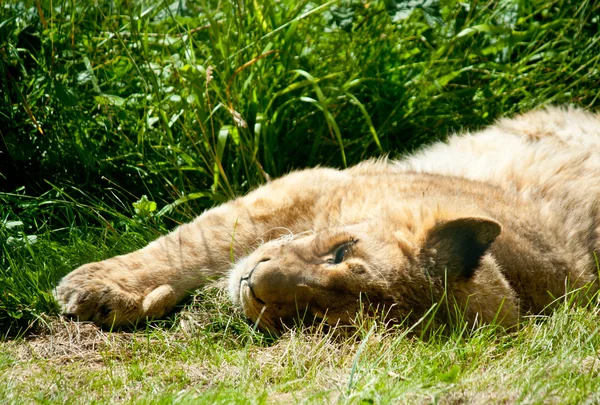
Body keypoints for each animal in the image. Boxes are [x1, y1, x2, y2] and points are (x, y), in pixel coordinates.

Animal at [55, 106, 600, 332]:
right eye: (340, 252)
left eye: (316, 318)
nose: (254, 283)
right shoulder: (311, 183)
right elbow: (193, 243)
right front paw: (99, 289)